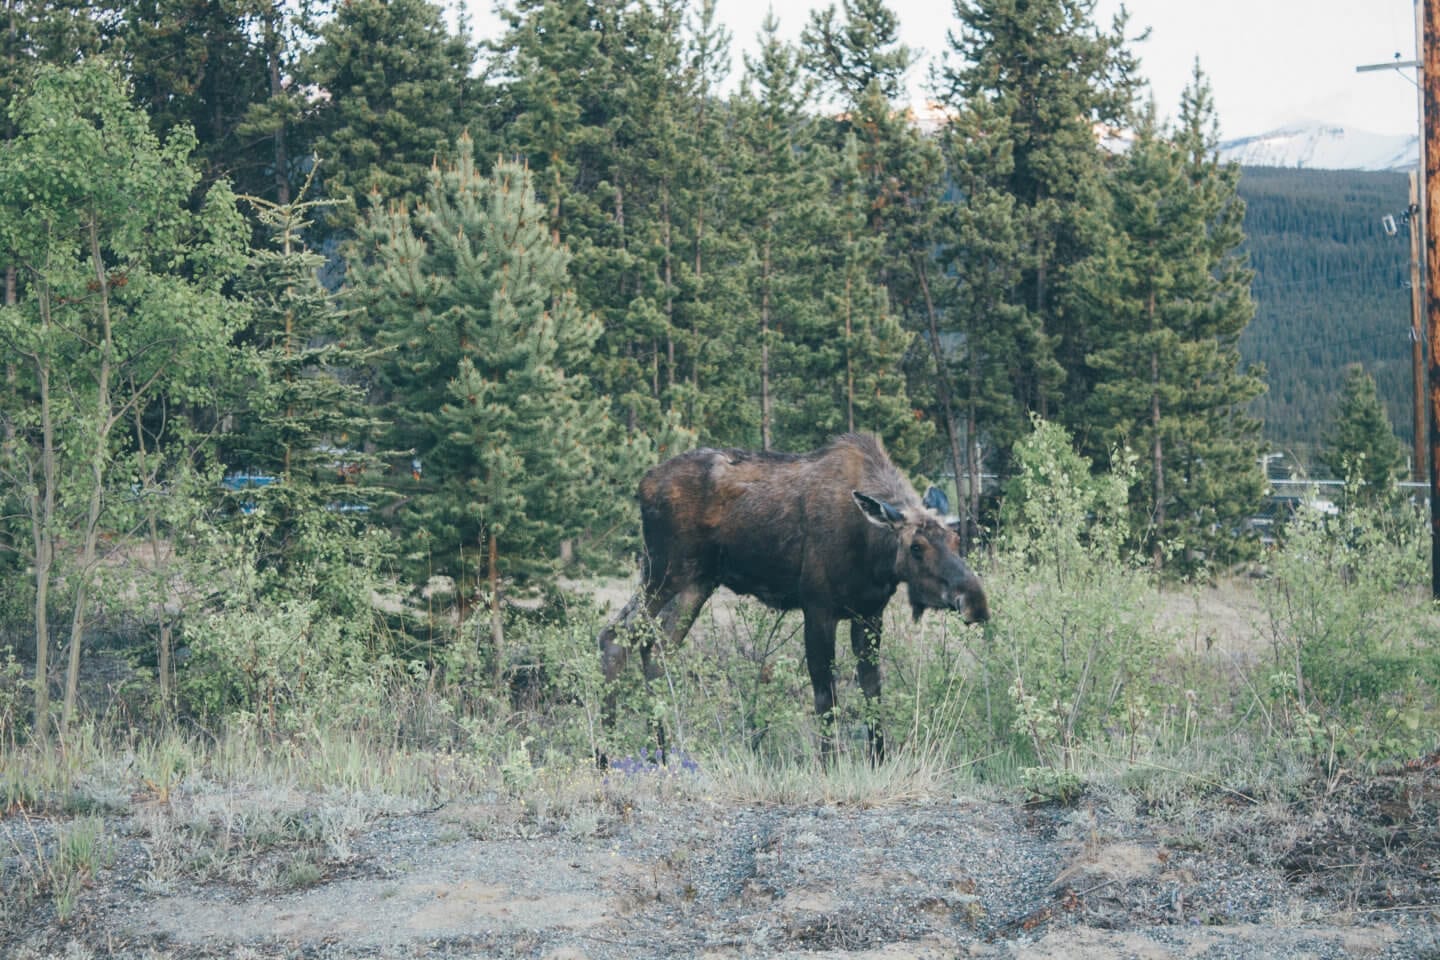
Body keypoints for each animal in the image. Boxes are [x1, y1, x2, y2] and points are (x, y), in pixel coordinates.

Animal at [596, 431, 990, 759]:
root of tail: (642, 484)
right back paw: (605, 755)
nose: (976, 602)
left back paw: (663, 754)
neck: (873, 553)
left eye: (956, 539)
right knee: (615, 636)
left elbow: (872, 691)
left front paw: (878, 760)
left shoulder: (869, 613)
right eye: (916, 547)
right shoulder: (817, 608)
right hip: (664, 571)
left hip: (696, 583)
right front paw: (830, 765)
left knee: (655, 647)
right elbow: (825, 696)